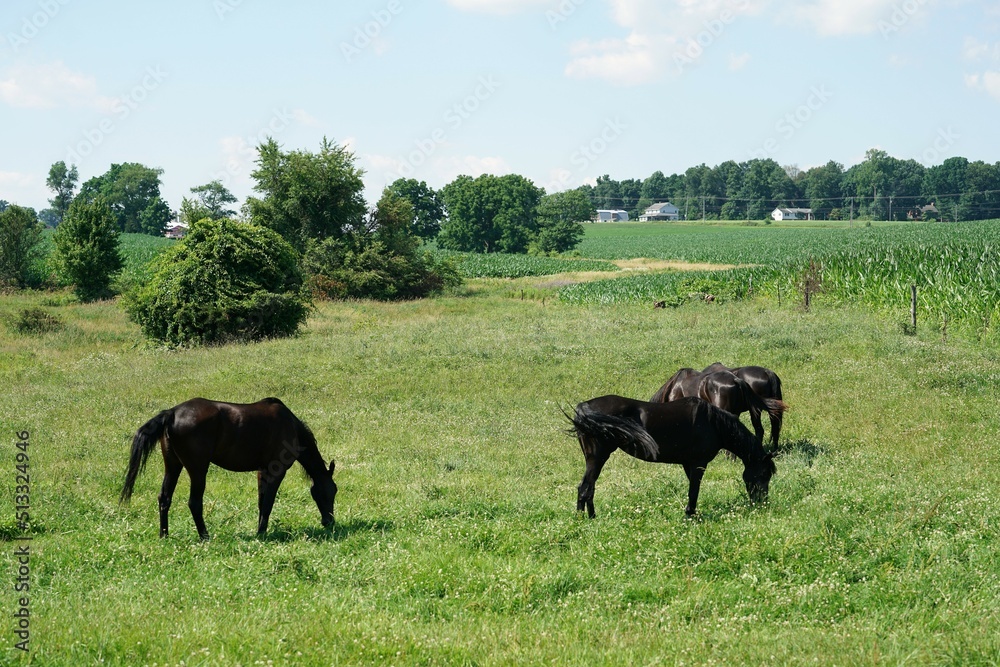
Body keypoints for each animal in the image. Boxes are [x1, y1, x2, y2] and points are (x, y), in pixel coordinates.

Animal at [120, 397, 337, 540]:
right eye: (331, 492)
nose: (329, 521)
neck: (290, 425)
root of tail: (172, 413)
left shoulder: (263, 471)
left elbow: (262, 502)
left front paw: (260, 530)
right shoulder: (277, 471)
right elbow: (268, 503)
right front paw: (262, 533)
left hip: (173, 466)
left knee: (164, 498)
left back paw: (164, 535)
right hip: (198, 469)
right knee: (194, 502)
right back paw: (205, 536)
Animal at [567, 395, 777, 518]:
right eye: (764, 474)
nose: (762, 503)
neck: (713, 423)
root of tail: (584, 408)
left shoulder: (687, 463)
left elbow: (693, 489)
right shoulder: (698, 463)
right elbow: (694, 490)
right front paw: (690, 515)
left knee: (588, 488)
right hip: (597, 457)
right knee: (585, 488)